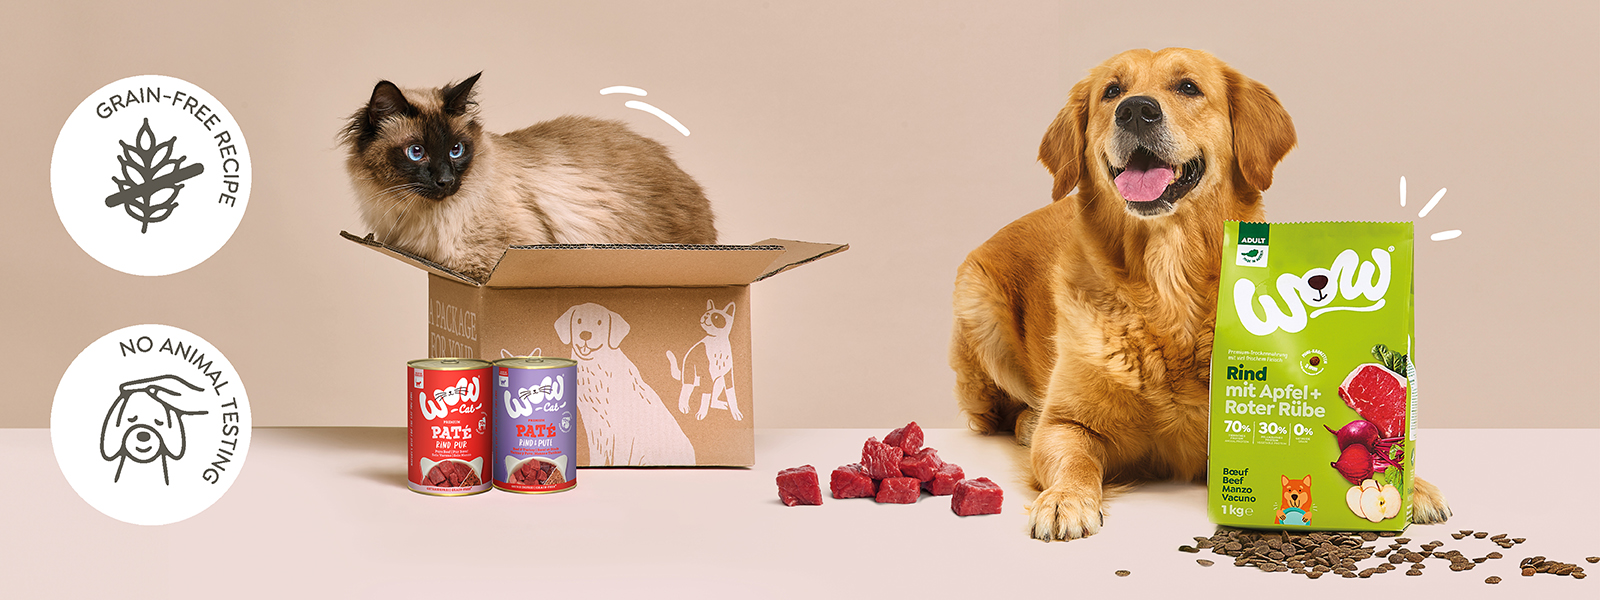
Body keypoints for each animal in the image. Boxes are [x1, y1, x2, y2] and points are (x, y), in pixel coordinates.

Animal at [940, 49, 1459, 544]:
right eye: (1112, 91)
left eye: (1188, 87)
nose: (1136, 110)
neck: (1166, 285)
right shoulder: (1068, 424)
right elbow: (1075, 459)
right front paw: (1064, 499)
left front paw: (1413, 486)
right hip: (977, 304)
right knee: (995, 416)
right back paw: (1026, 424)